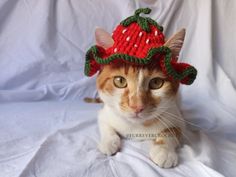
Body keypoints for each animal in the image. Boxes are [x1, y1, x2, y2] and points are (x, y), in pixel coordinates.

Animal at [94, 27, 186, 167]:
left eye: (156, 83)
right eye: (120, 81)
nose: (137, 106)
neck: (138, 126)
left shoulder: (176, 116)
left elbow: (172, 131)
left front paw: (164, 151)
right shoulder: (105, 113)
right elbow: (106, 126)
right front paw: (109, 142)